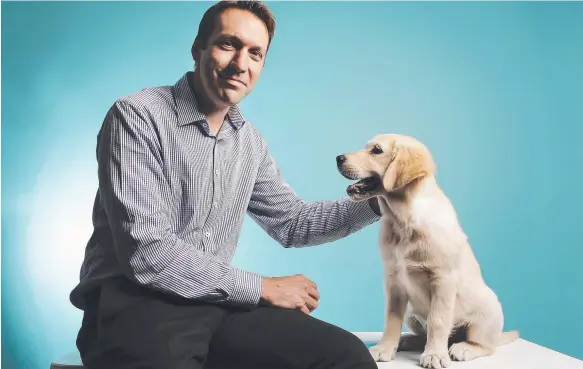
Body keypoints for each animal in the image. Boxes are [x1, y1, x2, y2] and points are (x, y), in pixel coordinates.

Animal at [338, 134, 520, 368]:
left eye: (376, 150)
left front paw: (434, 354)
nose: (338, 158)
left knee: (486, 346)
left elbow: (438, 321)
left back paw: (463, 348)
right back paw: (407, 340)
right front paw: (384, 348)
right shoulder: (394, 280)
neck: (403, 220)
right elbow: (391, 319)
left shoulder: (442, 280)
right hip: (412, 314)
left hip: (489, 311)